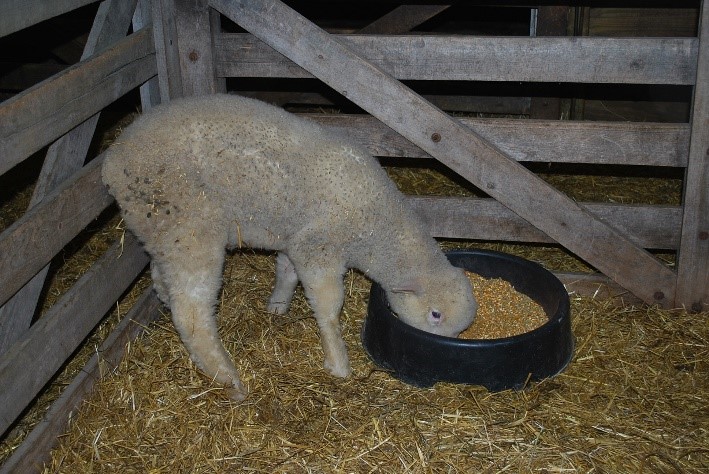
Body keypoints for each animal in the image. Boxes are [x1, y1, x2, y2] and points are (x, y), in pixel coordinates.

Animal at [102, 93, 477, 401]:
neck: (375, 225)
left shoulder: (295, 236)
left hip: (161, 231)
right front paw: (338, 362)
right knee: (192, 312)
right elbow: (328, 306)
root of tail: (113, 160)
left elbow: (286, 271)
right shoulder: (318, 247)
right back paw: (227, 377)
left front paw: (278, 305)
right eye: (435, 314)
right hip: (191, 227)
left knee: (161, 278)